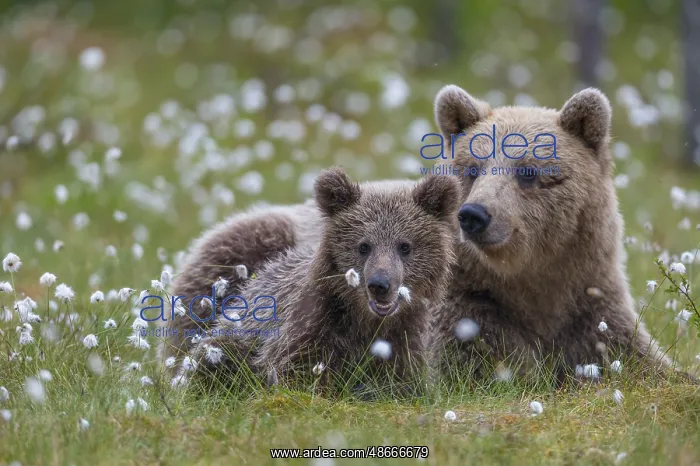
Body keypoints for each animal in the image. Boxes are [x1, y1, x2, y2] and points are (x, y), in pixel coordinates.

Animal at [180, 167, 461, 392]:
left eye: (405, 246)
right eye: (363, 246)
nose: (380, 285)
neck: (364, 320)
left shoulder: (405, 337)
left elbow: (401, 381)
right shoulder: (311, 322)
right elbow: (298, 370)